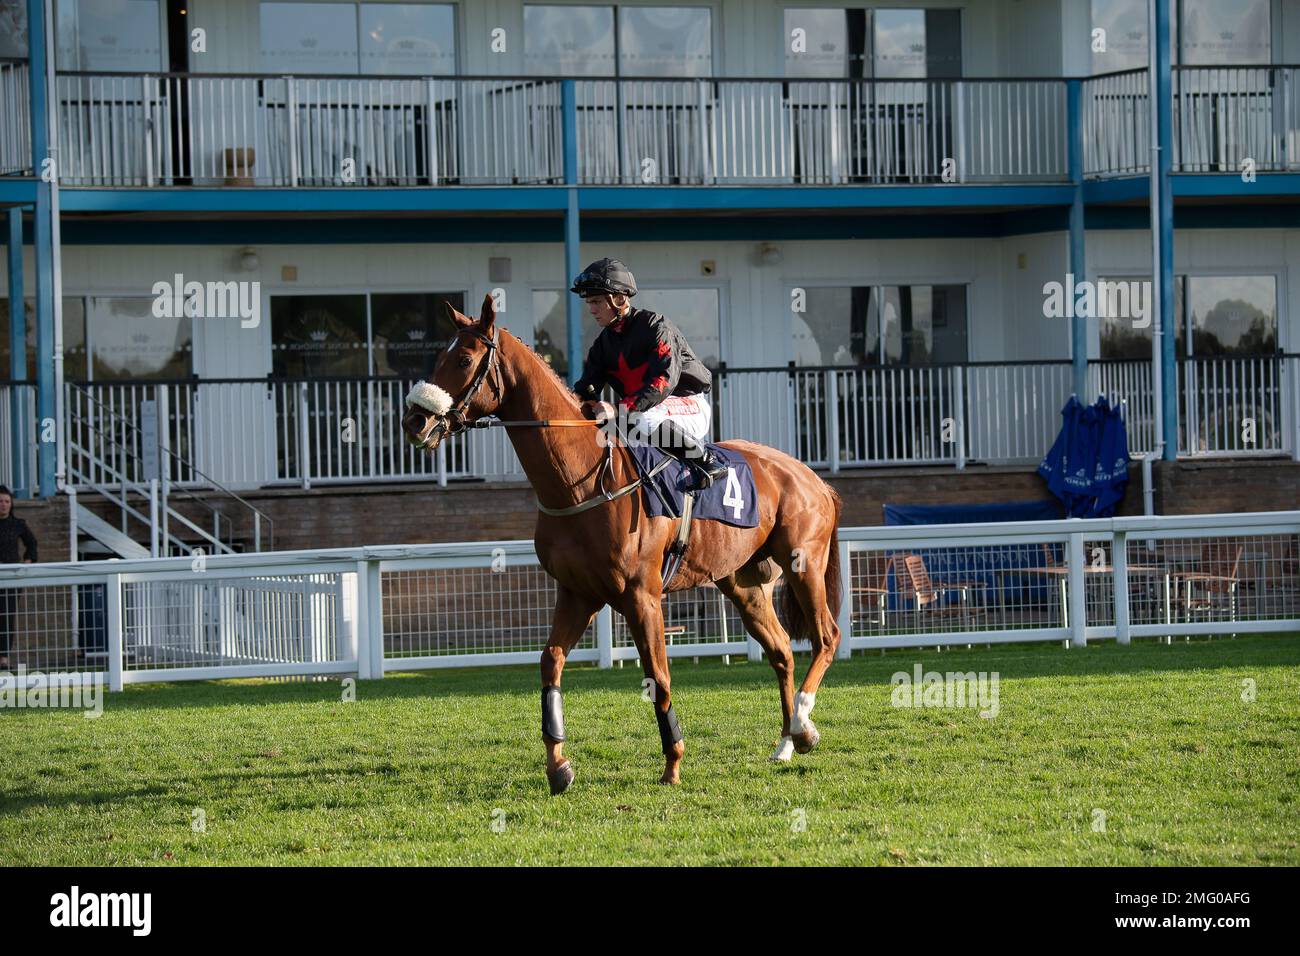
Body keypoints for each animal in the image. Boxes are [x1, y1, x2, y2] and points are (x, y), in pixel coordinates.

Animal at [402, 295, 843, 794]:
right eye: (437, 358)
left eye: (463, 359)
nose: (414, 420)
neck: (582, 479)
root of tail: (814, 479)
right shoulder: (578, 593)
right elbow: (550, 663)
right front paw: (559, 766)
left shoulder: (641, 596)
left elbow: (659, 678)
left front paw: (672, 763)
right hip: (742, 582)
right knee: (782, 650)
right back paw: (790, 740)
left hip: (804, 564)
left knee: (826, 637)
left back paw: (803, 720)